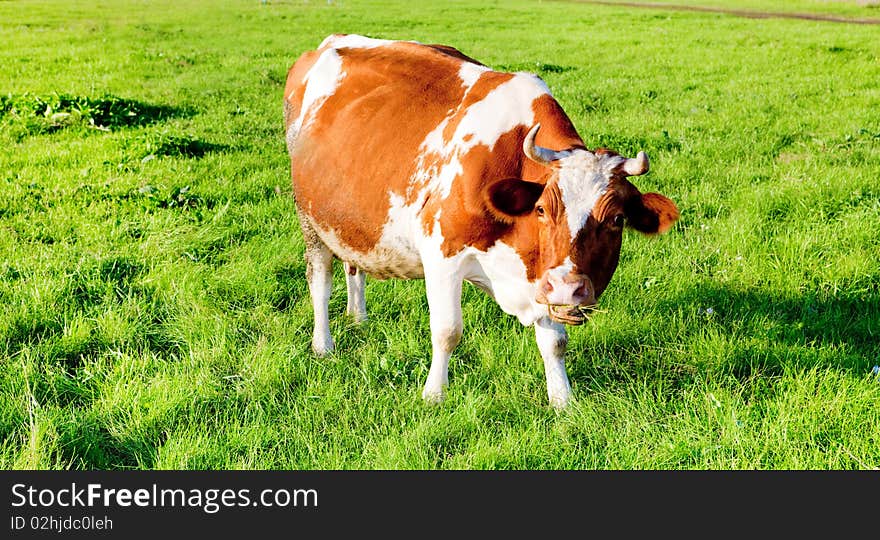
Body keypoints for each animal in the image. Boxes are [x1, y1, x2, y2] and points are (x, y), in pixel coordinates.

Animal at [286, 33, 676, 408]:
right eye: (542, 210)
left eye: (617, 219)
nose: (570, 289)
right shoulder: (441, 252)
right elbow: (447, 331)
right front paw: (434, 395)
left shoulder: (543, 274)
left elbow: (555, 341)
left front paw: (562, 400)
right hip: (309, 217)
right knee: (320, 279)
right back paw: (323, 344)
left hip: (348, 218)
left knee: (354, 265)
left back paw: (359, 319)